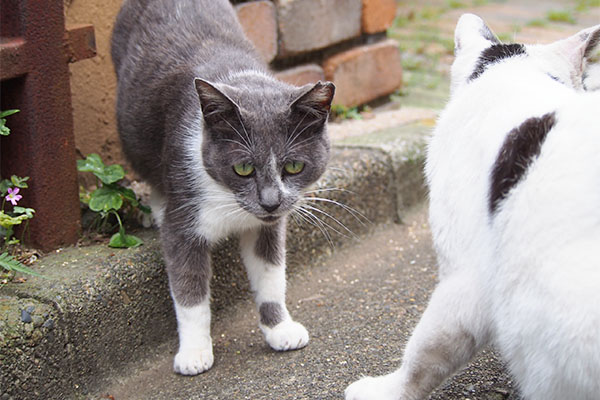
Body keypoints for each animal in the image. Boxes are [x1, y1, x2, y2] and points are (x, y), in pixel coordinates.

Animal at [110, 0, 336, 376]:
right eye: (243, 168)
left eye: (293, 166)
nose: (270, 202)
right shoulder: (184, 217)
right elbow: (189, 290)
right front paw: (194, 353)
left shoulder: (269, 228)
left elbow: (271, 274)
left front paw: (280, 328)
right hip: (134, 129)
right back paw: (155, 208)